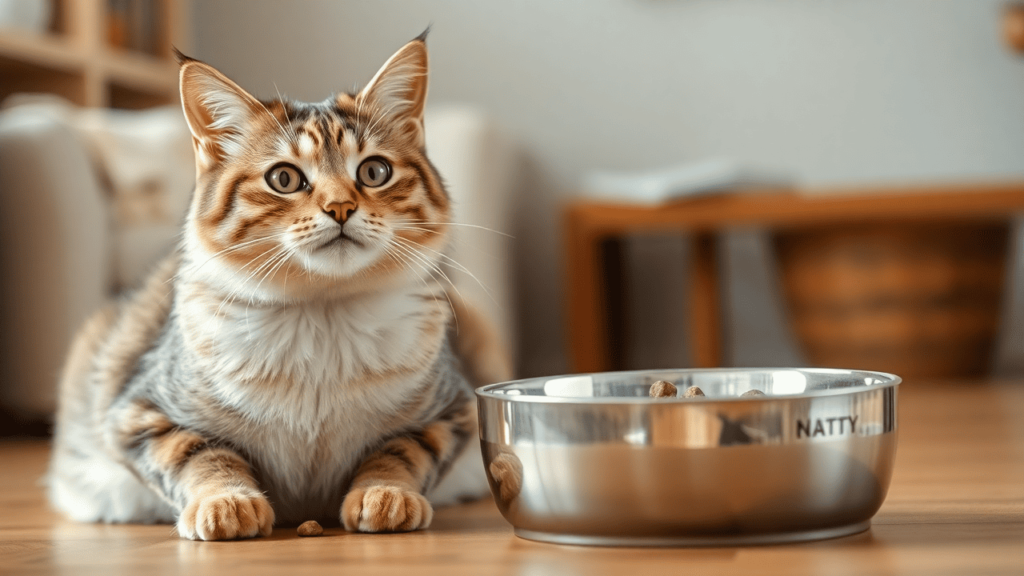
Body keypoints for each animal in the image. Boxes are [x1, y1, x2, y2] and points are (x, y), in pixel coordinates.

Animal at [48, 32, 512, 537]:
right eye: (284, 178)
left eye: (374, 172)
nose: (340, 207)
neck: (322, 316)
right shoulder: (138, 414)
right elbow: (201, 454)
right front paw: (226, 501)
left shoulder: (453, 410)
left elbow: (401, 449)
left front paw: (386, 493)